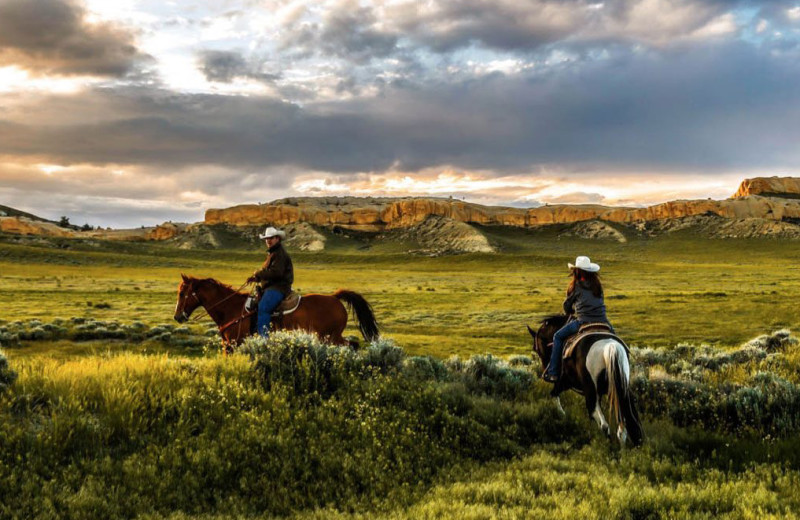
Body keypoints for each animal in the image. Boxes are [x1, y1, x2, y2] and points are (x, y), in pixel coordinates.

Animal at [173, 274, 380, 348]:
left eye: (182, 293)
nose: (177, 316)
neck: (231, 308)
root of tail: (335, 298)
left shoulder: (233, 344)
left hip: (331, 337)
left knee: (351, 346)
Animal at [532, 314, 644, 444]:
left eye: (535, 348)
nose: (545, 371)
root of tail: (610, 347)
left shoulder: (564, 382)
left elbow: (554, 394)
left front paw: (562, 415)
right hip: (622, 389)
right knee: (628, 422)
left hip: (591, 390)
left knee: (601, 421)